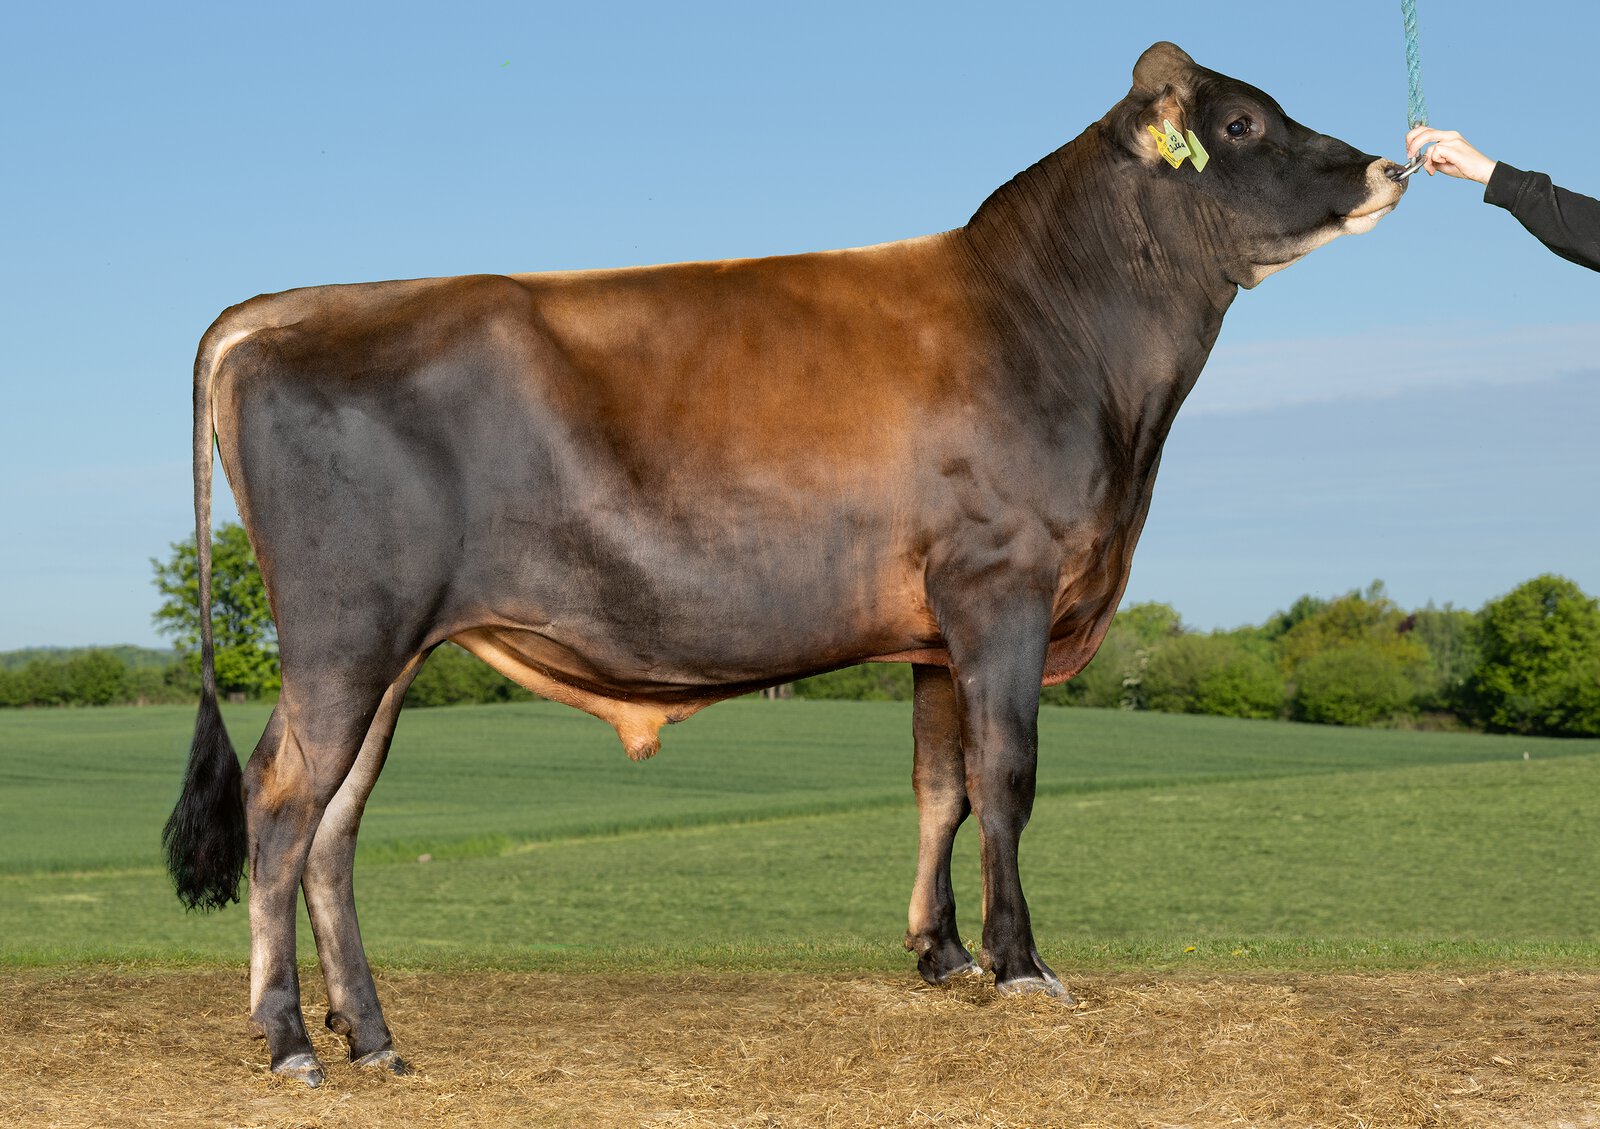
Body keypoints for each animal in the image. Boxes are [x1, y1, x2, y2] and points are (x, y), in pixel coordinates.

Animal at [165, 42, 1406, 1085]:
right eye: (1242, 123)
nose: (1388, 166)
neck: (1064, 332)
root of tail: (288, 306)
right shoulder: (1000, 584)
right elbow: (1006, 776)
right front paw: (1019, 965)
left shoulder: (934, 628)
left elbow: (940, 786)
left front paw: (940, 955)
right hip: (345, 633)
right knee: (283, 802)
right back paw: (289, 1038)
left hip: (391, 648)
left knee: (335, 824)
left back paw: (372, 1035)